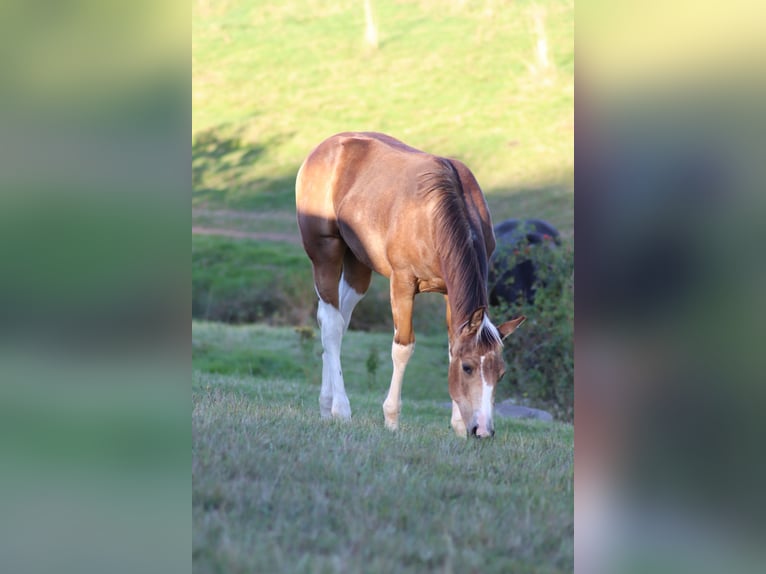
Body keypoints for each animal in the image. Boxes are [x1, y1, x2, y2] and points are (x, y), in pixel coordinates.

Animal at [296, 132, 525, 438]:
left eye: (500, 373)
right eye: (467, 368)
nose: (483, 430)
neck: (434, 214)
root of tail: (324, 148)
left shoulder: (449, 293)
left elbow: (451, 345)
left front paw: (458, 426)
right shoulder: (402, 284)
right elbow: (403, 347)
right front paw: (391, 419)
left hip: (358, 266)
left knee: (336, 322)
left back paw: (326, 404)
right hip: (325, 254)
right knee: (331, 325)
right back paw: (340, 409)